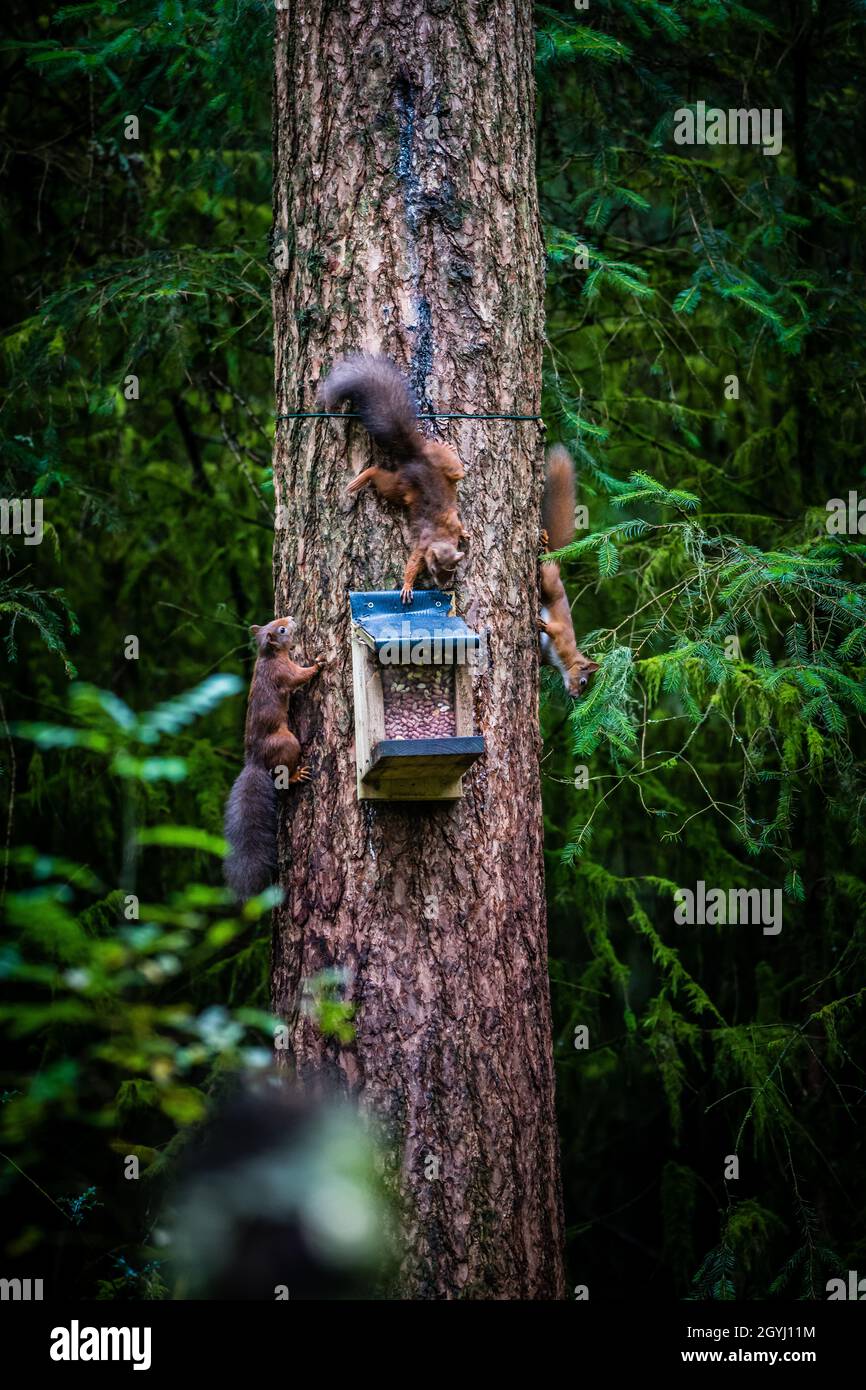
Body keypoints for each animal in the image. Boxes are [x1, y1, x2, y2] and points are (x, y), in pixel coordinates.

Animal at [223, 617, 323, 901]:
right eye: (281, 630)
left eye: (276, 623)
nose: (291, 619)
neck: (269, 656)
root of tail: (254, 760)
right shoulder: (284, 673)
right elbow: (300, 676)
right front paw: (319, 663)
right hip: (287, 742)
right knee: (283, 773)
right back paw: (296, 775)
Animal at [319, 354, 467, 603]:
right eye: (434, 569)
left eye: (452, 570)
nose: (443, 586)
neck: (442, 537)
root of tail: (417, 457)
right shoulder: (422, 546)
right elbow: (413, 563)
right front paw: (407, 585)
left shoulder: (452, 525)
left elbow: (459, 525)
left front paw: (465, 533)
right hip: (398, 486)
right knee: (377, 473)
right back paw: (362, 478)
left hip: (444, 468)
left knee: (458, 470)